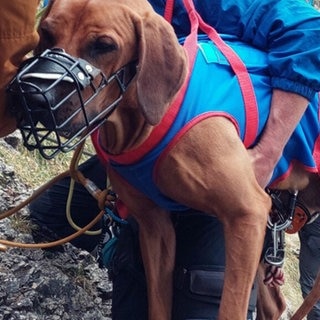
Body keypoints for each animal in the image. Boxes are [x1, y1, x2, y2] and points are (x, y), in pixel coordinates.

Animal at [13, 0, 320, 318]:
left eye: (104, 45)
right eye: (46, 34)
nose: (34, 97)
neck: (140, 125)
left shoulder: (246, 214)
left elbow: (230, 306)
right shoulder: (155, 228)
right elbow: (158, 303)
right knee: (274, 303)